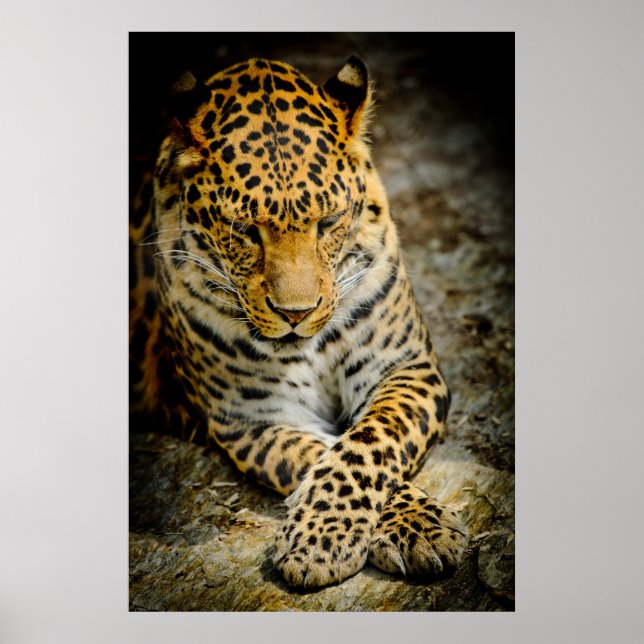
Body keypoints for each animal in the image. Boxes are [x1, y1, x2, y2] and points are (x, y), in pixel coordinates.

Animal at [129, 56, 468, 588]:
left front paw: (409, 527)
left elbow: (366, 444)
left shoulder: (406, 368)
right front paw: (337, 537)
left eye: (328, 223)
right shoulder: (251, 418)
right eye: (245, 230)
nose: (297, 313)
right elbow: (322, 454)